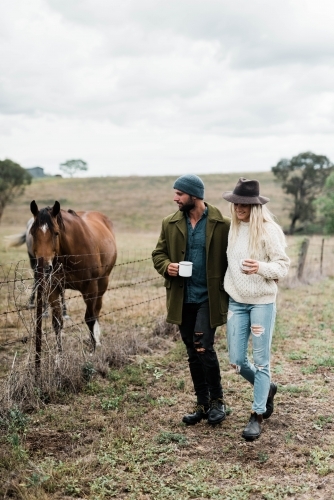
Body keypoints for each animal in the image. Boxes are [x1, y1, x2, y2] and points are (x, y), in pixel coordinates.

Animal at [29, 200, 117, 352]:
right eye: (33, 233)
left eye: (56, 233)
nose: (44, 268)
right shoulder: (53, 287)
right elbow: (57, 323)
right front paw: (59, 355)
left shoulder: (90, 287)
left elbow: (90, 318)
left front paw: (94, 349)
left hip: (102, 282)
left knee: (97, 310)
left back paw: (97, 339)